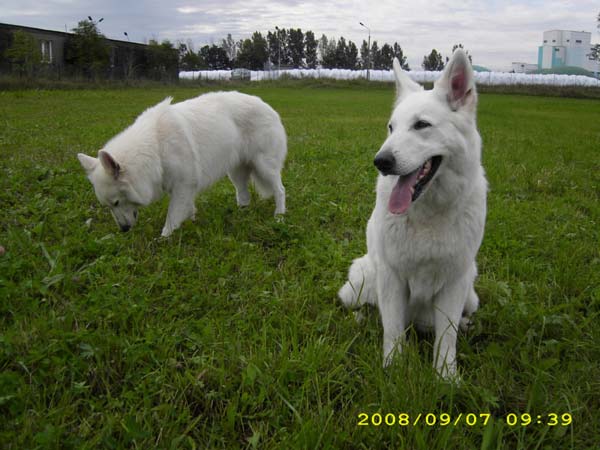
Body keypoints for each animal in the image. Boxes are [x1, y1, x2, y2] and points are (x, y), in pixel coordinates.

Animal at [78, 91, 287, 237]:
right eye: (108, 206)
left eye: (116, 202)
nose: (124, 230)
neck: (156, 147)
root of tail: (268, 106)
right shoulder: (182, 188)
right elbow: (187, 209)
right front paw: (191, 224)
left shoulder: (183, 185)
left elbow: (172, 217)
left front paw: (164, 239)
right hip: (235, 173)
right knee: (243, 195)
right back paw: (242, 214)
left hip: (264, 167)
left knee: (280, 190)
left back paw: (279, 216)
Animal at [338, 50, 487, 379]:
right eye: (391, 128)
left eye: (421, 125)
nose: (381, 162)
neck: (428, 212)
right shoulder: (392, 278)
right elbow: (392, 329)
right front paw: (393, 369)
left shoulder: (454, 282)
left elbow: (447, 337)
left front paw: (446, 377)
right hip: (360, 281)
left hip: (470, 292)